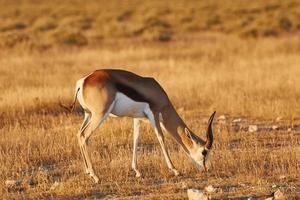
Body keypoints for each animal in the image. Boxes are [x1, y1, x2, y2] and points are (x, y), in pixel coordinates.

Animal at [62, 69, 214, 183]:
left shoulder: (137, 118)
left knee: (78, 134)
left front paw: (137, 171)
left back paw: (88, 172)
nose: (207, 169)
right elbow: (161, 138)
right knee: (84, 136)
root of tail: (83, 81)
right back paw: (95, 176)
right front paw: (175, 170)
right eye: (204, 152)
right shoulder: (154, 114)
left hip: (88, 114)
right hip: (99, 115)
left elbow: (135, 140)